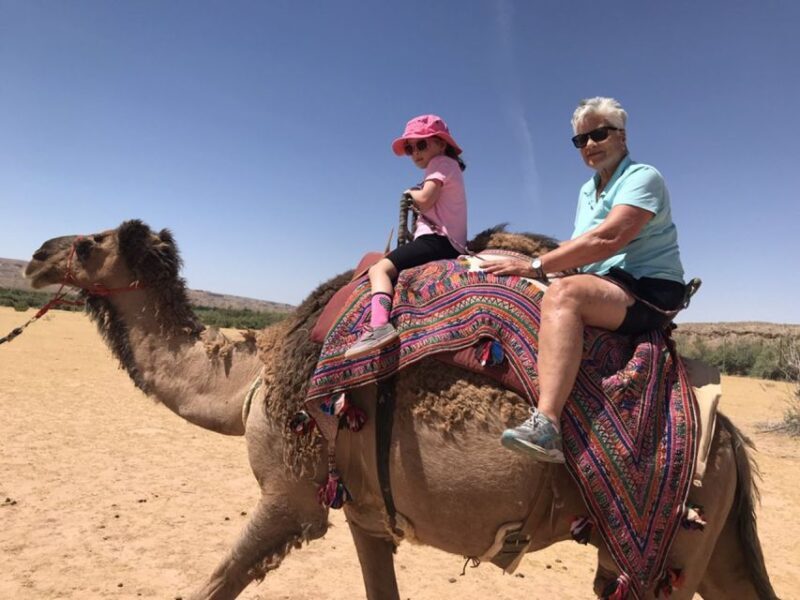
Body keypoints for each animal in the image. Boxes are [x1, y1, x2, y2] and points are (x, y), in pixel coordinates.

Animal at [24, 220, 778, 600]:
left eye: (89, 242)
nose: (33, 257)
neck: (248, 383)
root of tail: (726, 434)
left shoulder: (290, 494)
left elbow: (210, 584)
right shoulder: (366, 514)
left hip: (665, 544)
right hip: (701, 541)